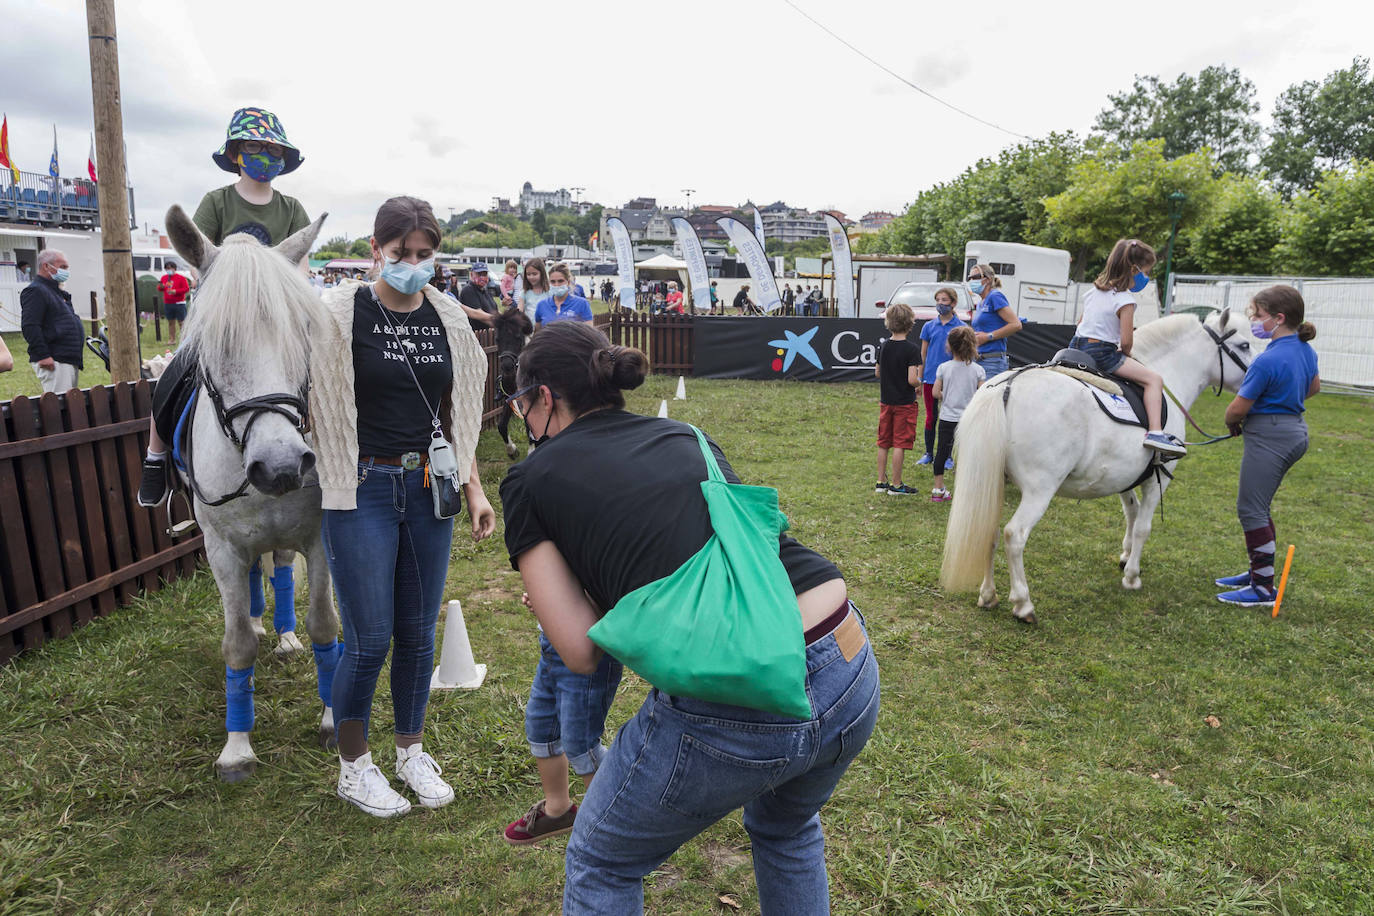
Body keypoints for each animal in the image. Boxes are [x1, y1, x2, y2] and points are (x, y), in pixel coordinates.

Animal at [164, 207, 343, 780]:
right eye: (213, 345)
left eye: (303, 335)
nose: (282, 467)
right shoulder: (220, 547)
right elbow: (237, 643)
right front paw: (237, 746)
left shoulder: (319, 535)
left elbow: (324, 625)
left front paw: (333, 718)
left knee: (279, 567)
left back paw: (283, 633)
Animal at [945, 311, 1258, 626]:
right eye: (1244, 345)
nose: (1255, 380)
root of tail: (1007, 386)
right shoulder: (1157, 480)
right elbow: (1143, 526)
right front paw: (1132, 576)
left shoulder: (1123, 476)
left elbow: (1131, 512)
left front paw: (1125, 556)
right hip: (1039, 491)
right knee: (1014, 535)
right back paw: (1023, 604)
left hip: (992, 486)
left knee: (990, 532)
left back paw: (988, 595)